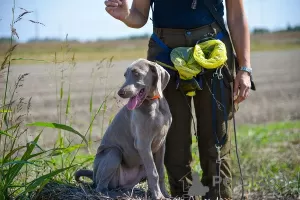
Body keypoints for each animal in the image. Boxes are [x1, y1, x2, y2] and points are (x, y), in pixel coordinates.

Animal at [74, 58, 171, 199]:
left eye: (136, 73)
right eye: (125, 75)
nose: (120, 92)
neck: (154, 104)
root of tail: (93, 175)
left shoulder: (161, 144)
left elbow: (160, 171)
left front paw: (165, 194)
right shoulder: (143, 144)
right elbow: (154, 173)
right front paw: (158, 196)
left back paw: (124, 192)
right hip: (113, 153)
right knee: (100, 186)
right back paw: (109, 193)